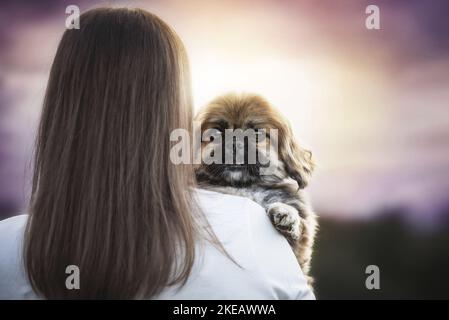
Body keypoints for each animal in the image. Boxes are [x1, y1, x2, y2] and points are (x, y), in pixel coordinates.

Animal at [194, 93, 316, 288]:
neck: (243, 187)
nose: (234, 143)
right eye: (217, 133)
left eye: (256, 134)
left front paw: (287, 215)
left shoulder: (300, 248)